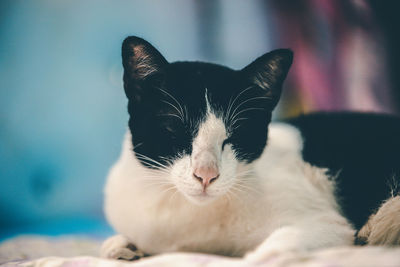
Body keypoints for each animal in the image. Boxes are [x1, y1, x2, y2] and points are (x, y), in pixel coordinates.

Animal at [100, 36, 400, 262]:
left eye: (234, 137)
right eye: (175, 130)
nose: (206, 175)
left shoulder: (328, 223)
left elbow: (287, 238)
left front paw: (260, 256)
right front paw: (122, 244)